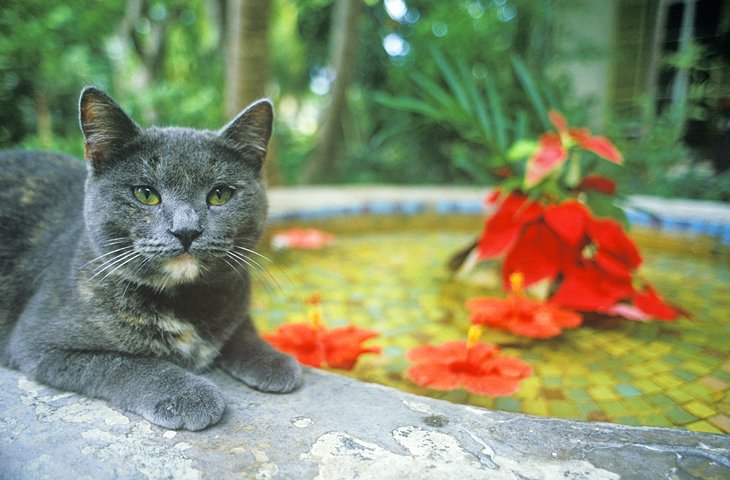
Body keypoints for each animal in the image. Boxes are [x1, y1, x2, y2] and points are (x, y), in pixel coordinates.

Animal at [0, 87, 302, 432]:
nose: (186, 230)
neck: (186, 303)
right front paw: (187, 394)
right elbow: (123, 362)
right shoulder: (38, 342)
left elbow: (241, 328)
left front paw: (272, 360)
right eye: (146, 193)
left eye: (219, 195)